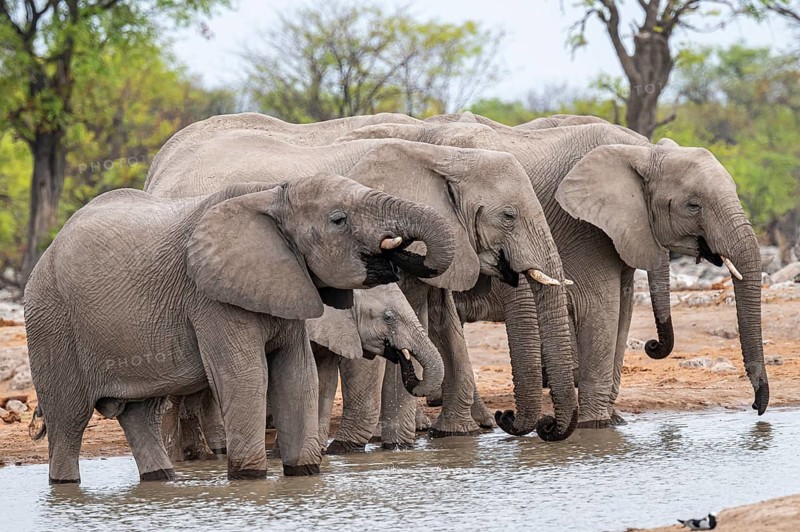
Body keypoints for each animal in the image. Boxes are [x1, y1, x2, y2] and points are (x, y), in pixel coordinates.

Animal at [24, 173, 455, 484]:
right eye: (338, 220)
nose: (396, 252)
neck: (272, 195)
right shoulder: (210, 297)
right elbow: (246, 377)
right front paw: (250, 478)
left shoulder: (287, 284)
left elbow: (297, 375)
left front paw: (303, 474)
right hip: (50, 322)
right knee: (68, 420)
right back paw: (66, 484)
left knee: (140, 414)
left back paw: (162, 479)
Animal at [144, 114, 580, 447]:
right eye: (509, 216)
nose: (518, 420)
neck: (437, 146)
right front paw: (401, 438)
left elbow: (439, 319)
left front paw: (448, 435)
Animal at [338, 114, 769, 427]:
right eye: (693, 205)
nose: (757, 407)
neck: (643, 151)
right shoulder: (582, 228)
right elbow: (601, 307)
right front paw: (596, 426)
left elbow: (623, 307)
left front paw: (613, 420)